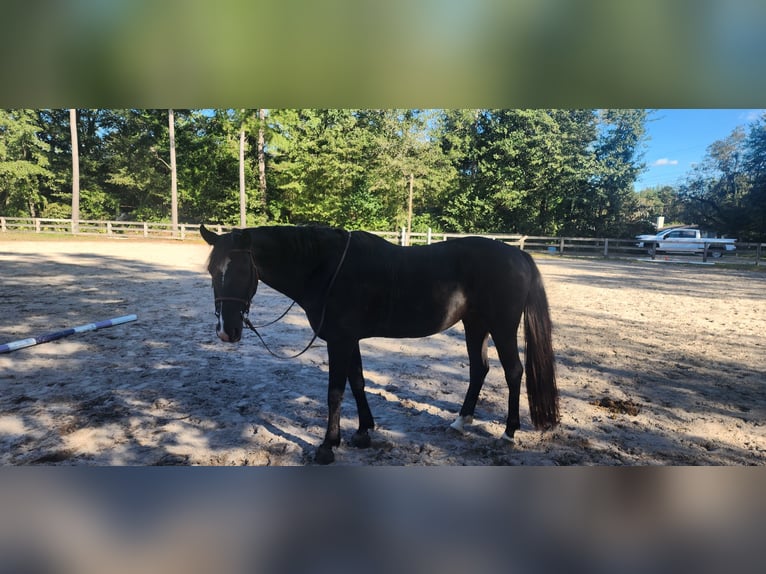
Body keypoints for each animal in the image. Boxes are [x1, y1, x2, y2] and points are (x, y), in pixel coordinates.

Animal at [200, 224, 559, 464]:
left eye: (242, 271)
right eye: (212, 271)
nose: (226, 331)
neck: (326, 269)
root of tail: (518, 254)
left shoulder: (340, 341)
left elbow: (335, 392)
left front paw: (328, 446)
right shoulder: (349, 340)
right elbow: (358, 383)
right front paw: (363, 432)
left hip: (502, 326)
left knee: (513, 372)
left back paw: (508, 434)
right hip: (475, 324)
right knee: (479, 369)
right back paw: (461, 421)